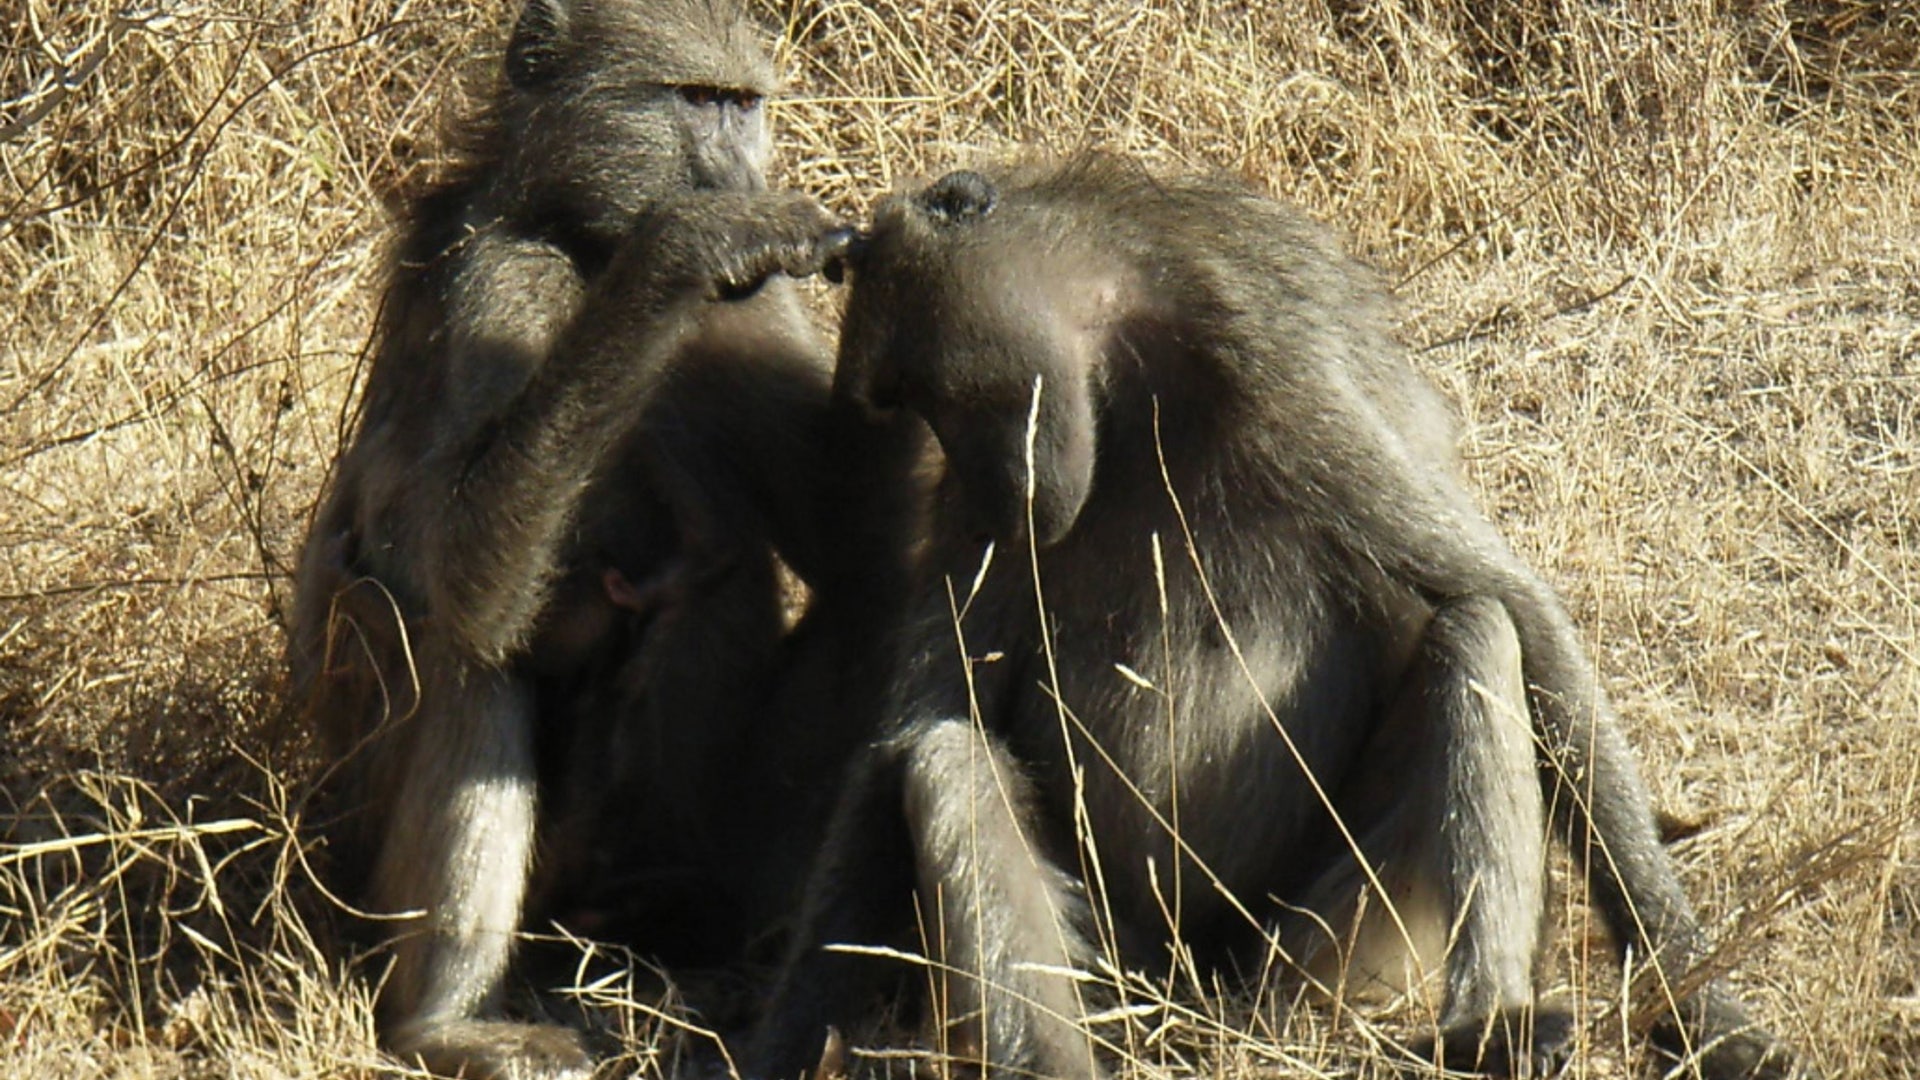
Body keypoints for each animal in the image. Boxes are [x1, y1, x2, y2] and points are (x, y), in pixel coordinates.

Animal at [286, 2, 908, 1077]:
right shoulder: (492, 282)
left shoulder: (762, 303)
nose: (738, 180)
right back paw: (446, 1026)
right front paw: (689, 246)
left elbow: (865, 550)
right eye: (695, 100)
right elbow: (462, 582)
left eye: (743, 105)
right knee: (466, 658)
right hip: (367, 826)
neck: (582, 239)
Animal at [748, 157, 1795, 1080]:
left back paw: (1488, 1028)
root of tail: (1196, 986)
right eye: (904, 404)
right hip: (1122, 965)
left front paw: (1704, 1009)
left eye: (932, 391)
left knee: (1476, 627)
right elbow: (909, 731)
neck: (1123, 361)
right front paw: (782, 1038)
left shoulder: (1282, 362)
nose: (988, 498)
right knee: (949, 758)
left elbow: (1523, 615)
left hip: (1325, 951)